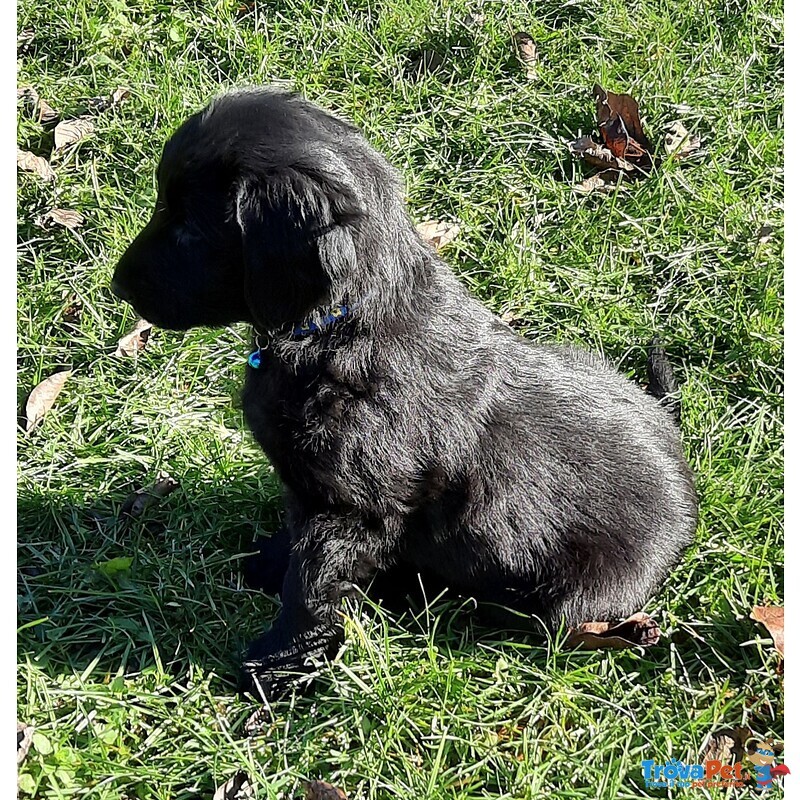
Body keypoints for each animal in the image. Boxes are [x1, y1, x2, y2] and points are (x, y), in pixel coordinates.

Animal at [111, 87, 692, 692]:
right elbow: (296, 544)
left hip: (579, 601)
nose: (117, 285)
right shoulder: (312, 490)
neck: (340, 326)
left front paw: (279, 664)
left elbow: (312, 583)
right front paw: (269, 563)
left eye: (191, 229)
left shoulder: (354, 510)